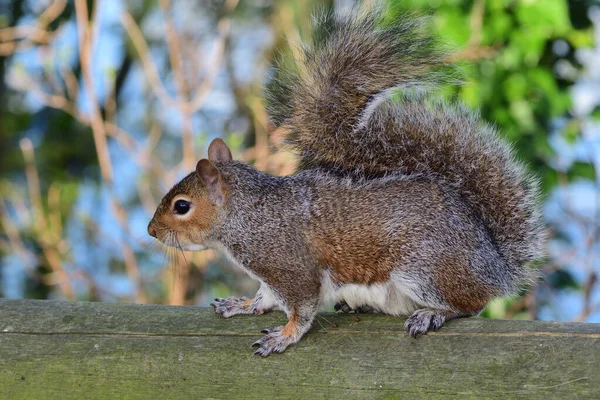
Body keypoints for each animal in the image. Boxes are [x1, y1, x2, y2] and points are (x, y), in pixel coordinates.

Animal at [148, 6, 548, 356]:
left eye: (181, 206)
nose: (152, 231)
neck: (249, 214)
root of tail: (494, 265)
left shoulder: (290, 266)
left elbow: (301, 307)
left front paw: (283, 337)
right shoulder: (271, 275)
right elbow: (265, 297)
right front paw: (241, 304)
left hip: (424, 267)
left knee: (470, 303)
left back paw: (433, 313)